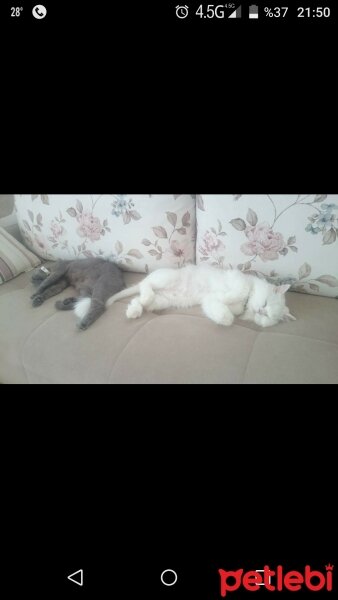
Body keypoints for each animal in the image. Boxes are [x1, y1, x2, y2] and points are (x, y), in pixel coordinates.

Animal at [105, 264, 296, 326]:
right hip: (166, 278)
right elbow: (235, 293)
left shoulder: (208, 302)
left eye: (266, 316)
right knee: (145, 286)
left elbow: (224, 314)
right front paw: (224, 298)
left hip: (162, 301)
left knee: (138, 299)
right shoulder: (239, 281)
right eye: (264, 304)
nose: (260, 311)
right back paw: (142, 298)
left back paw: (134, 311)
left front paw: (223, 316)